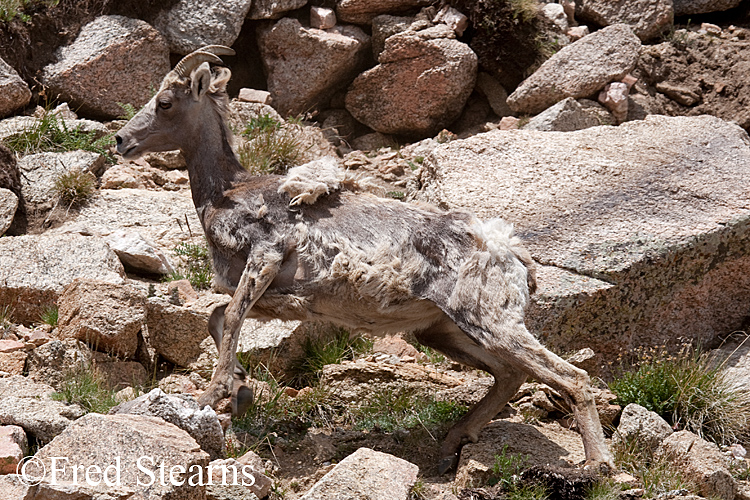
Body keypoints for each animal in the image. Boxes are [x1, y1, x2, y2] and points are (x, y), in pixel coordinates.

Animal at [114, 46, 612, 472]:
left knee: (571, 377)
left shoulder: (265, 257)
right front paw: (240, 391)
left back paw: (596, 466)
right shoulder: (280, 298)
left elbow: (230, 315)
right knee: (511, 375)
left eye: (165, 103)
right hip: (445, 332)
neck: (227, 193)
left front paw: (213, 396)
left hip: (491, 323)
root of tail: (512, 256)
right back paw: (450, 448)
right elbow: (218, 317)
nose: (121, 141)